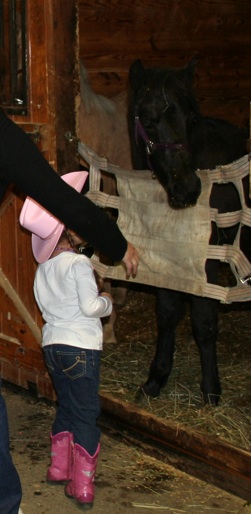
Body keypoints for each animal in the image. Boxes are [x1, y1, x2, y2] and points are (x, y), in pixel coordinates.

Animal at [128, 58, 250, 404]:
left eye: (191, 118)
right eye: (148, 120)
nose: (188, 189)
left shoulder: (207, 258)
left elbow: (204, 320)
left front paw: (211, 388)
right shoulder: (166, 253)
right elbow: (168, 313)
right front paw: (155, 379)